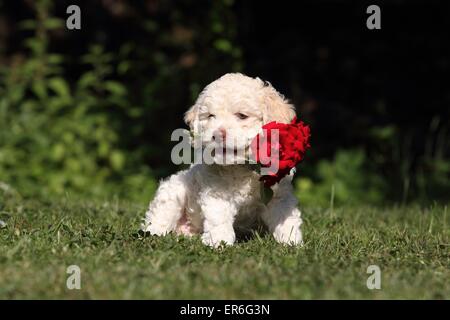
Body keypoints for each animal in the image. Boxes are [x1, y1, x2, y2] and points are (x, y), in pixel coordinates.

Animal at [141, 72, 302, 248]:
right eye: (211, 116)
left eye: (242, 116)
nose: (217, 134)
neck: (243, 167)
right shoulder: (217, 194)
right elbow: (219, 219)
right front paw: (219, 242)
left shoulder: (279, 195)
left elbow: (285, 218)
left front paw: (291, 241)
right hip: (173, 191)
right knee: (159, 215)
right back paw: (153, 233)